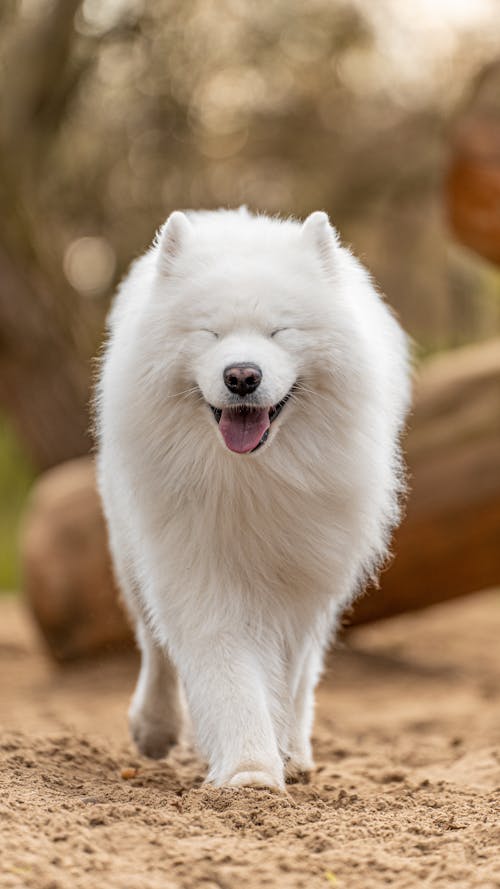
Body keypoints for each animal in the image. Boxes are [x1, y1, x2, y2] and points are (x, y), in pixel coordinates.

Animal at [94, 210, 410, 792]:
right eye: (210, 332)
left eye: (279, 332)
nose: (242, 375)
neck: (250, 477)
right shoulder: (196, 570)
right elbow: (227, 673)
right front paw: (249, 773)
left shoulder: (300, 582)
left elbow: (286, 675)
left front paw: (272, 759)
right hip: (129, 552)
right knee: (153, 646)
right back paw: (155, 729)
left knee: (304, 678)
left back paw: (298, 753)